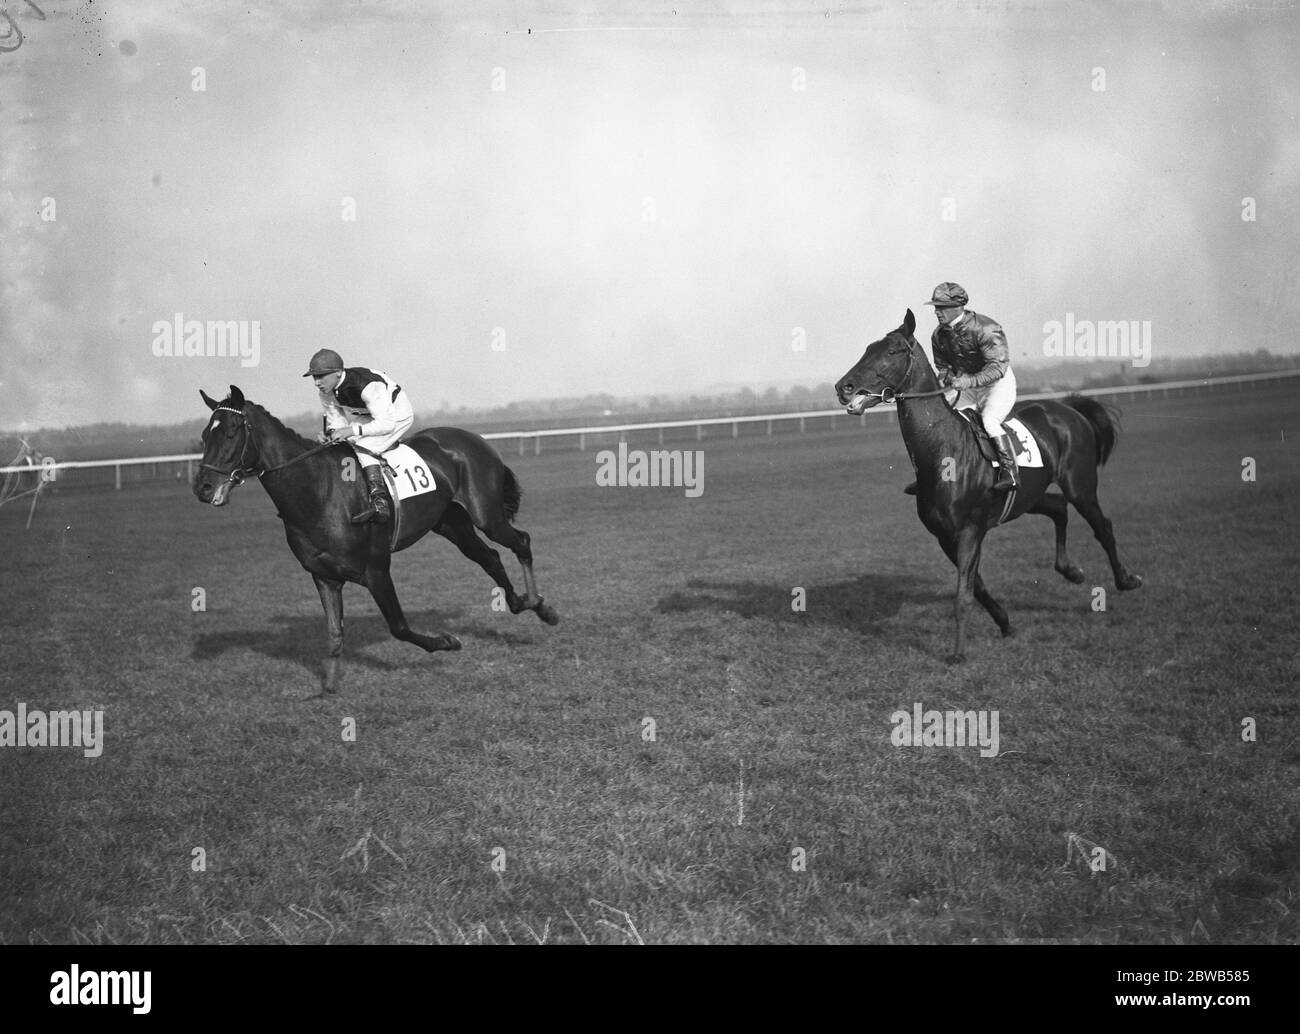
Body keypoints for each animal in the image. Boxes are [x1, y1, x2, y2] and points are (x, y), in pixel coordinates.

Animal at [192, 384, 559, 691]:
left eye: (230, 433)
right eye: (204, 436)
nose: (203, 488)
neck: (319, 492)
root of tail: (473, 437)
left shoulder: (376, 570)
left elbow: (399, 627)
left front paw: (447, 642)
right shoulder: (323, 576)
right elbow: (334, 633)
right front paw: (329, 685)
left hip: (487, 515)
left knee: (521, 541)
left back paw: (541, 607)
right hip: (451, 523)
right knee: (490, 558)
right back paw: (521, 603)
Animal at [837, 309, 1144, 663]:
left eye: (892, 351)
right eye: (868, 349)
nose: (844, 387)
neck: (945, 454)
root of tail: (1067, 408)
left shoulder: (970, 530)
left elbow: (963, 595)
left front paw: (958, 653)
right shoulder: (945, 536)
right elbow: (978, 588)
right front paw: (1006, 623)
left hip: (1081, 486)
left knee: (1102, 526)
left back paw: (1126, 580)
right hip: (1028, 496)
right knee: (1058, 508)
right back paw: (1070, 570)